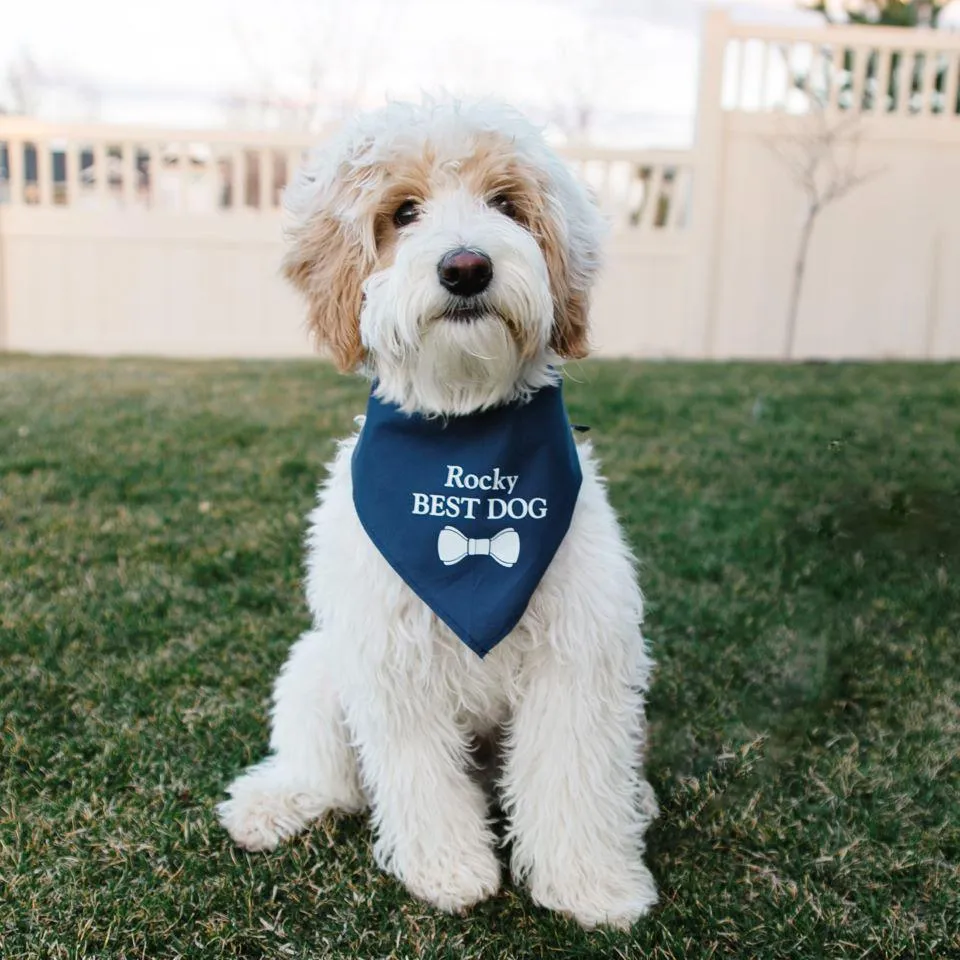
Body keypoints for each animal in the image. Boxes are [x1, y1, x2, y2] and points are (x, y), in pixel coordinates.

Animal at [216, 97, 660, 928]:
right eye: (403, 212)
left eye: (506, 204)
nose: (465, 267)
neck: (465, 434)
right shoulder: (390, 658)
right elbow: (419, 778)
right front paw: (449, 872)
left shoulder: (577, 652)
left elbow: (572, 774)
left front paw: (591, 883)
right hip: (320, 664)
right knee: (324, 772)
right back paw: (274, 802)